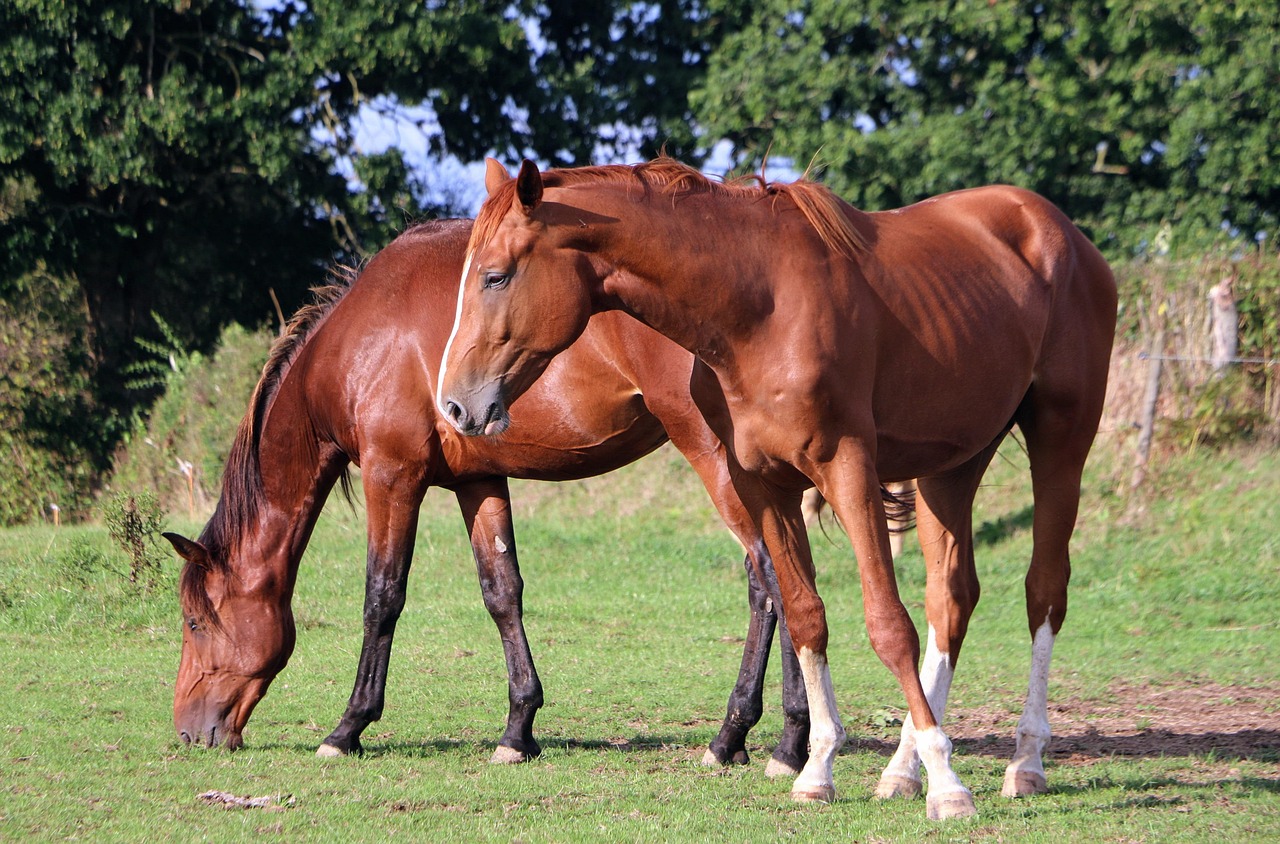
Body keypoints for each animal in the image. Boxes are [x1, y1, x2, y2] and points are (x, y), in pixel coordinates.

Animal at [162, 217, 814, 774]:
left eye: (195, 621)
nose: (188, 732)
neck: (361, 341)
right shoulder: (477, 482)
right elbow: (502, 593)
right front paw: (518, 730)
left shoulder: (391, 478)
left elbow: (382, 597)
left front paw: (348, 728)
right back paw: (771, 738)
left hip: (718, 461)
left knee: (769, 582)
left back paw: (751, 739)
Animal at [437, 158, 1116, 819]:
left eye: (495, 277)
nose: (456, 406)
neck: (756, 311)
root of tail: (1062, 232)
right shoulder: (764, 485)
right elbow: (805, 614)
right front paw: (817, 770)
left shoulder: (846, 467)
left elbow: (887, 623)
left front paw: (948, 786)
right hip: (952, 464)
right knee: (951, 599)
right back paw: (902, 770)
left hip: (1061, 441)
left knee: (1043, 591)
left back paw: (1024, 761)